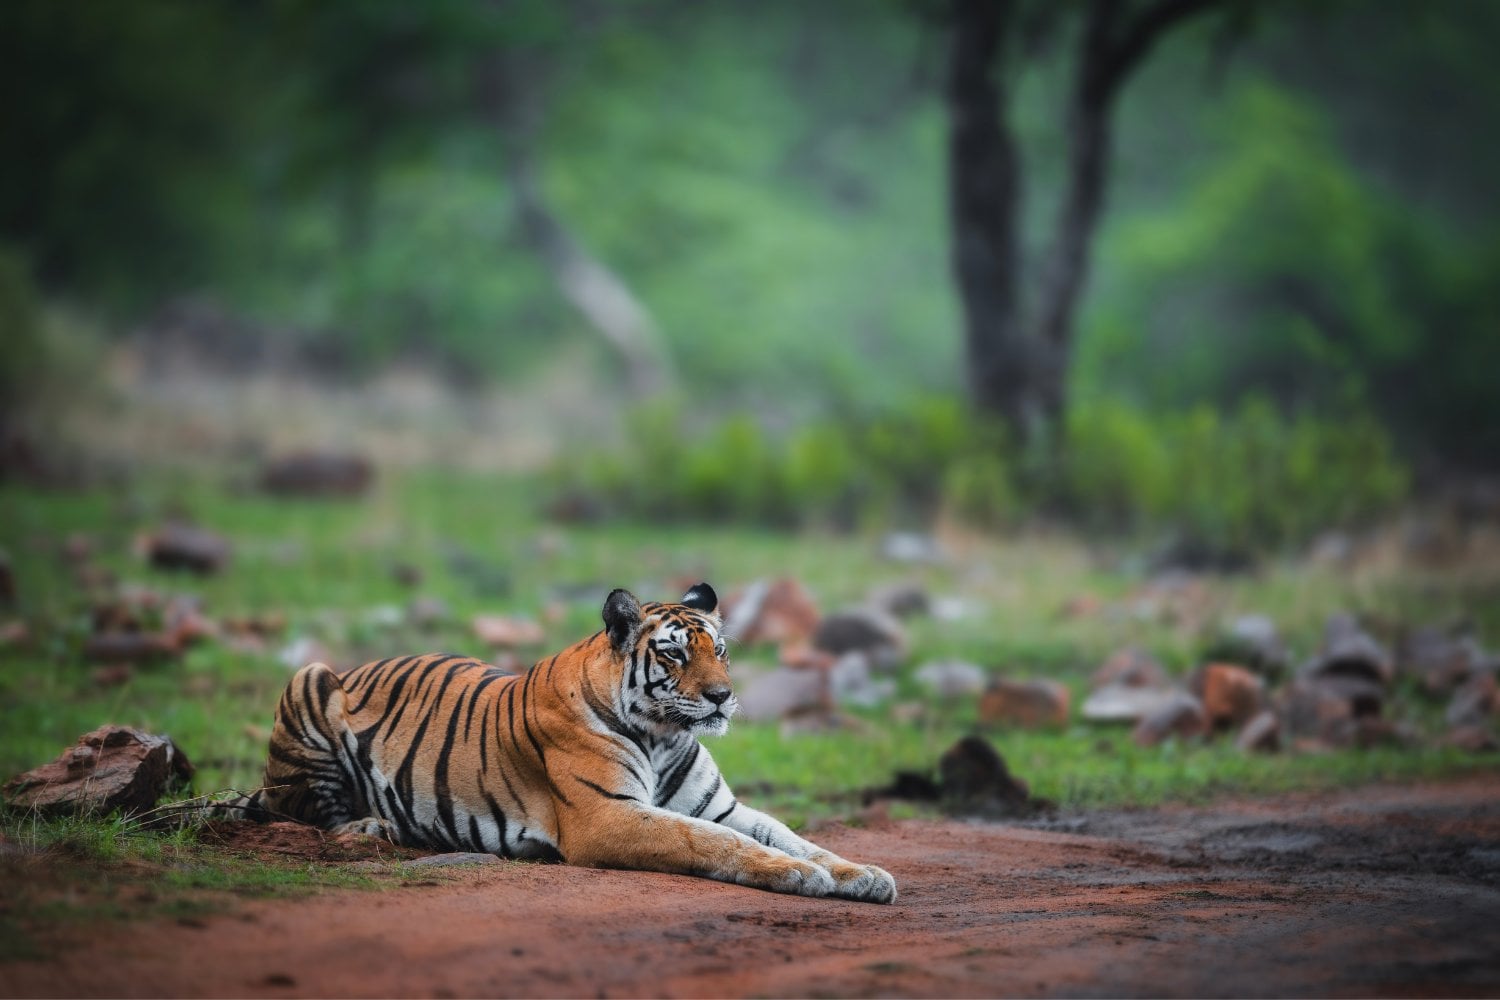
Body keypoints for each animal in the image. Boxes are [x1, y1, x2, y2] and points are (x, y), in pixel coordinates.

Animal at [231, 583, 896, 903]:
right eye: (675, 654)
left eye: (722, 652)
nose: (721, 697)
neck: (665, 735)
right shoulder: (609, 816)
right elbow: (716, 843)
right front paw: (801, 877)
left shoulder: (723, 807)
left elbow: (791, 835)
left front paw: (862, 874)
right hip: (309, 679)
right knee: (303, 810)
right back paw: (373, 826)